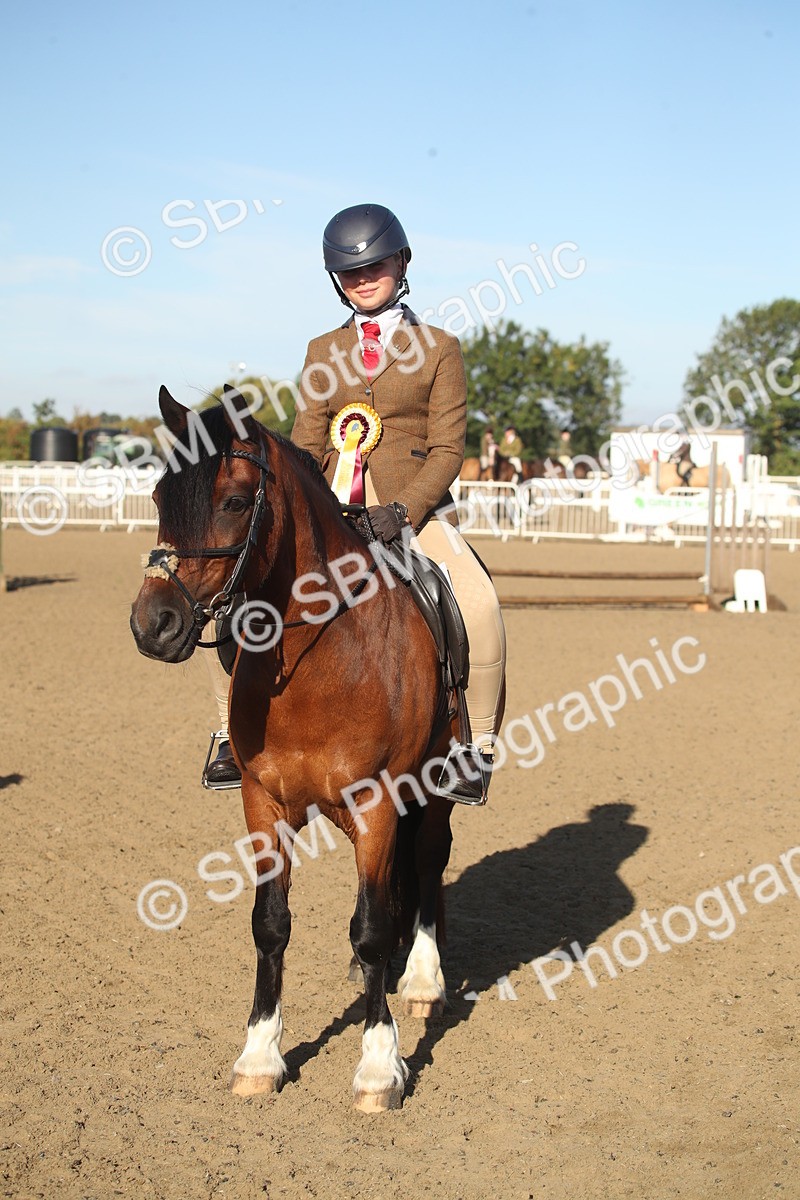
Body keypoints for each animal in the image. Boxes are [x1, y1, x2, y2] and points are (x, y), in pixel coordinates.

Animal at [130, 386, 485, 1113]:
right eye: (157, 496)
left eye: (236, 501)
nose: (154, 625)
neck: (322, 659)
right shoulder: (264, 804)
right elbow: (271, 924)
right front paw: (260, 1055)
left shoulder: (377, 803)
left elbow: (372, 927)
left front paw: (379, 1069)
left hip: (434, 789)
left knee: (428, 861)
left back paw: (423, 980)